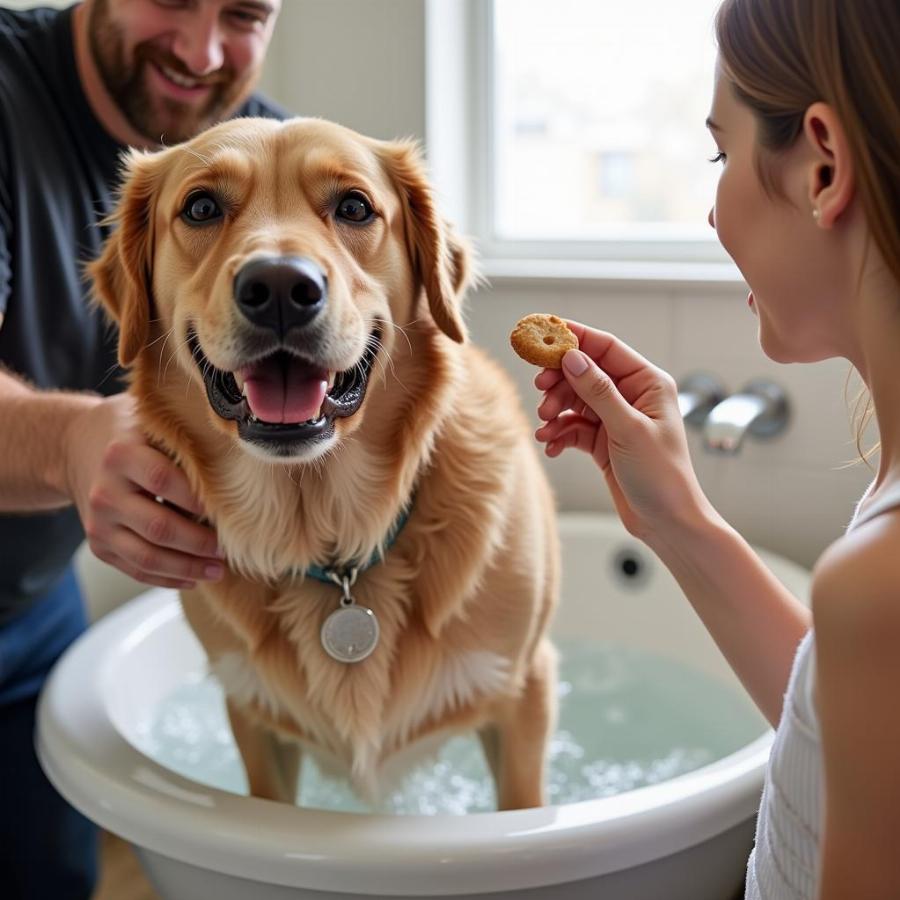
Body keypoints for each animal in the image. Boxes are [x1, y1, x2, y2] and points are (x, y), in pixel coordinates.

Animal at [88, 116, 560, 812]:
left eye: (354, 207)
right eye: (201, 208)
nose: (281, 288)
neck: (329, 540)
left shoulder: (525, 690)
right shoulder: (253, 717)